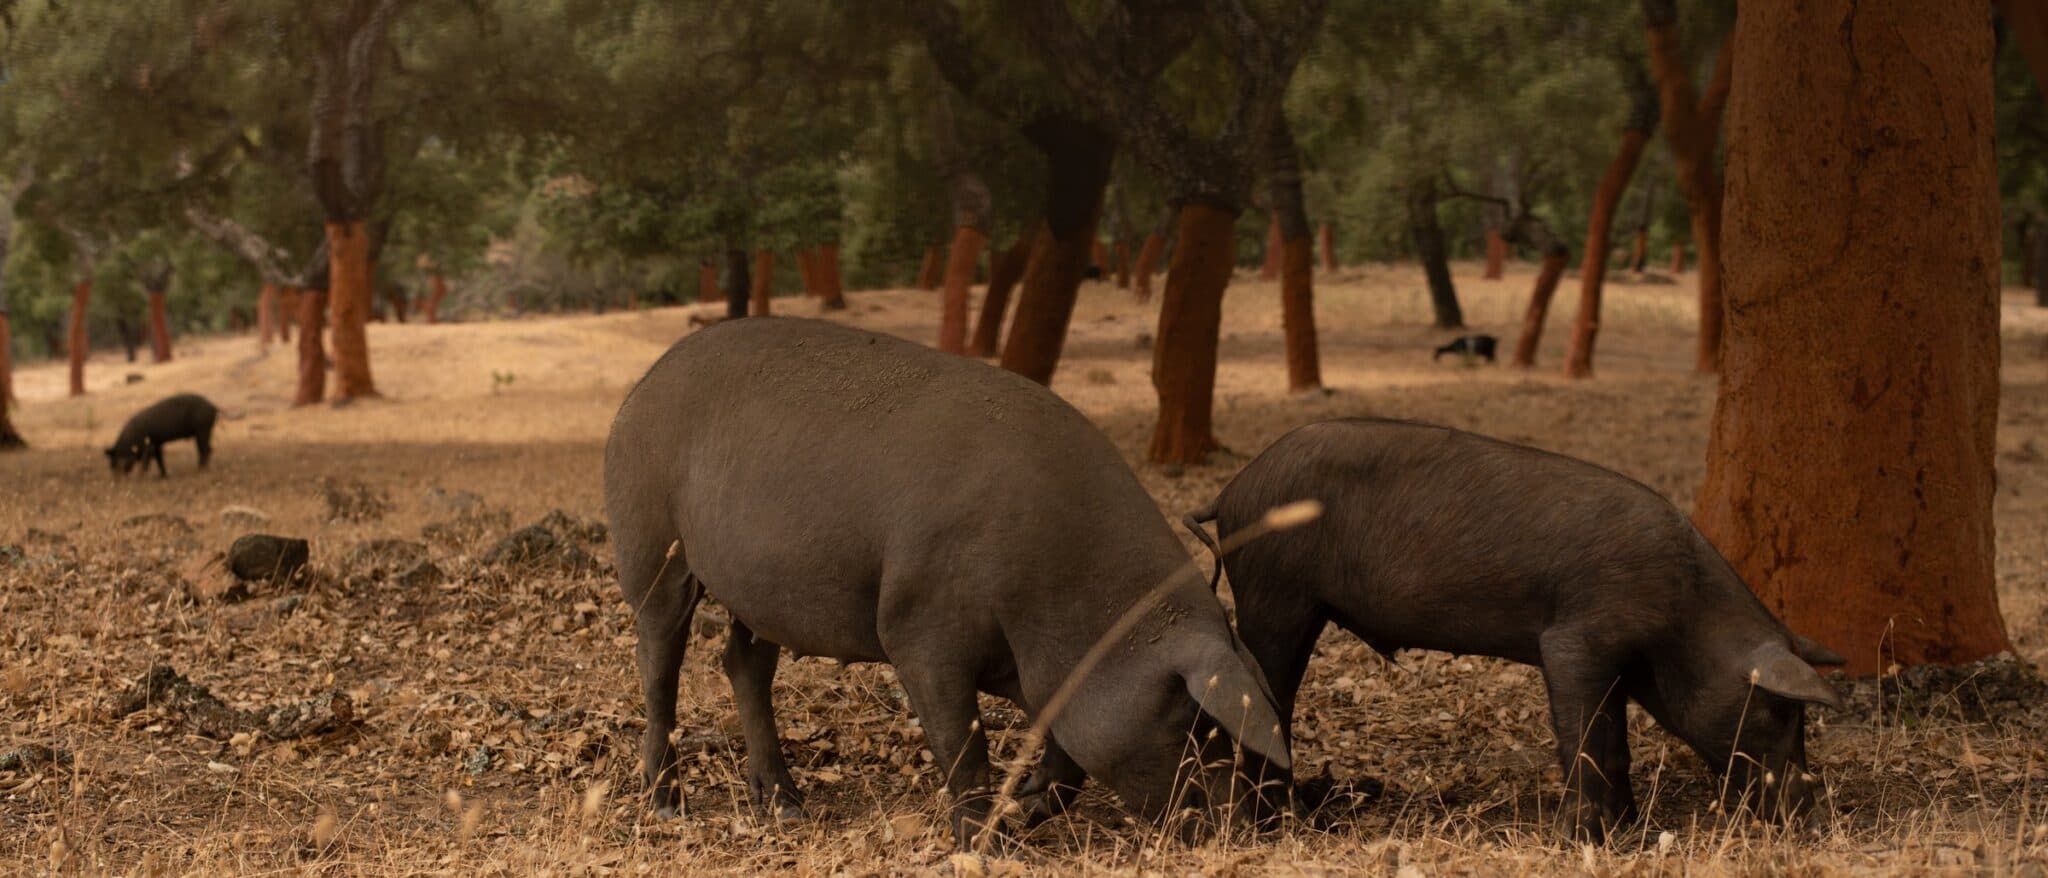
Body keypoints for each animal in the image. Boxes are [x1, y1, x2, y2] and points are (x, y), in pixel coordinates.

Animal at [604, 317, 1290, 843]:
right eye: (1197, 723)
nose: (1242, 825)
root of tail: (641, 385)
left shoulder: (1043, 674)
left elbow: (1066, 749)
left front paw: (1028, 808)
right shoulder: (918, 627)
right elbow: (964, 742)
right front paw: (986, 842)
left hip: (758, 590)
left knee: (743, 661)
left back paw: (787, 806)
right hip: (651, 541)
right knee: (658, 660)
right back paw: (667, 804)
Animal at [1184, 418, 1845, 841]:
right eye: (1781, 709)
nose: (1813, 820)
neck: (1684, 616)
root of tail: (1234, 489)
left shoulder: (1620, 665)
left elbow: (1616, 742)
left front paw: (1628, 827)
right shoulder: (1574, 640)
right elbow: (1586, 736)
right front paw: (1582, 838)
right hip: (1275, 593)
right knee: (1260, 698)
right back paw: (1278, 823)